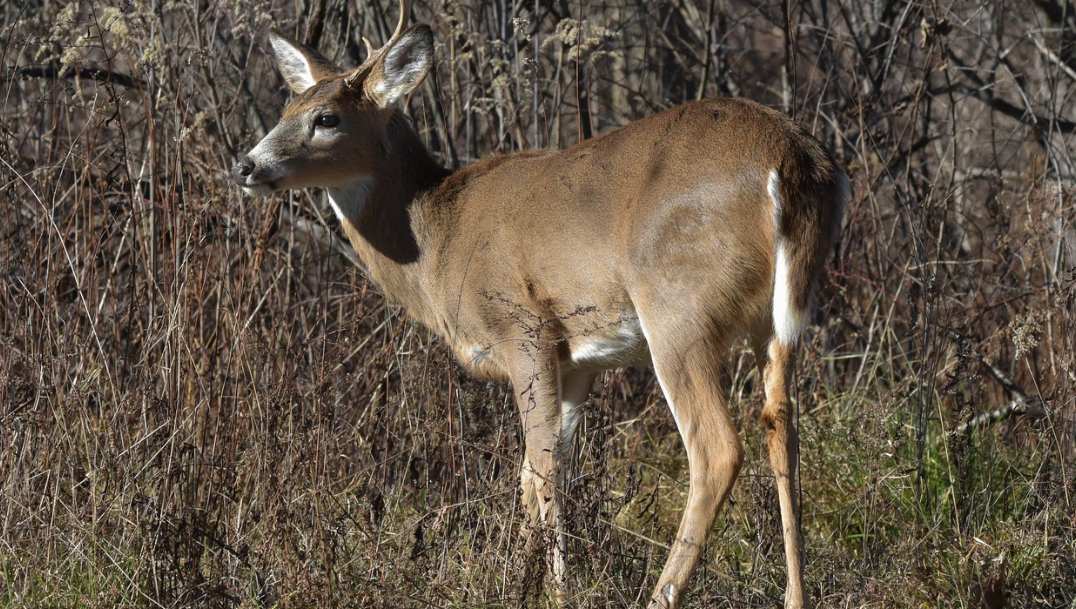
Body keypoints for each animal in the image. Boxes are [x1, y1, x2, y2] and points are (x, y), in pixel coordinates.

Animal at [233, 2, 847, 606]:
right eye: (287, 106)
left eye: (326, 118)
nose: (247, 164)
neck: (434, 238)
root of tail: (790, 162)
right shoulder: (577, 360)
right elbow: (538, 472)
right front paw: (519, 580)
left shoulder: (522, 326)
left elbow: (544, 467)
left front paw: (555, 589)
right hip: (781, 317)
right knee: (782, 428)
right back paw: (796, 596)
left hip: (677, 309)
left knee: (716, 449)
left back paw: (661, 594)